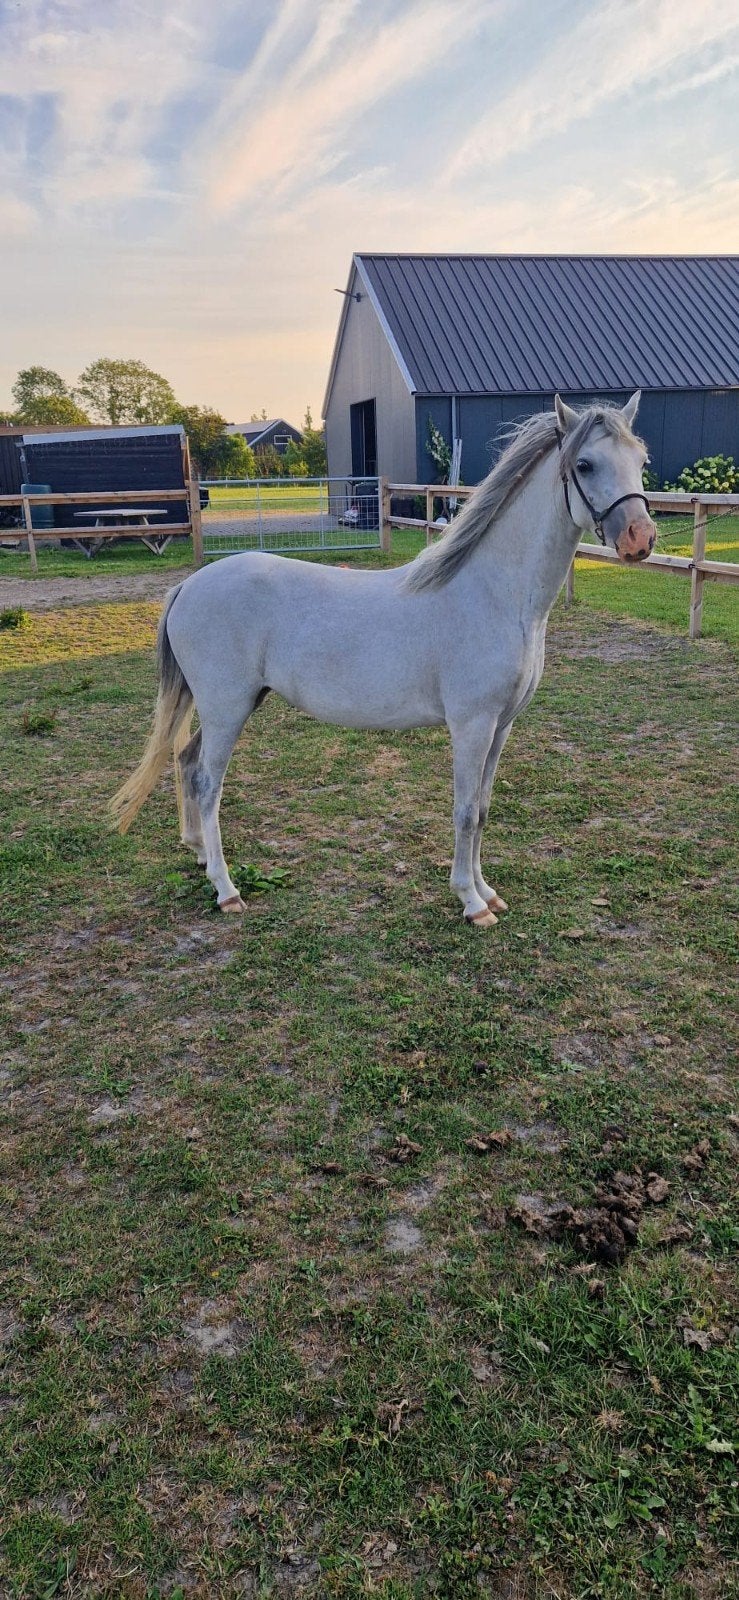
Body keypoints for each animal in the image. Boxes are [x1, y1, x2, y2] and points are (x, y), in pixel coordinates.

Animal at [111, 392, 655, 927]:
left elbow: (482, 808)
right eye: (584, 464)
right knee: (208, 783)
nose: (640, 539)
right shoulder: (472, 725)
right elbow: (463, 811)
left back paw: (201, 854)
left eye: (641, 460)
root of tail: (188, 587)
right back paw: (226, 889)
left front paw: (487, 891)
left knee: (185, 762)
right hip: (227, 707)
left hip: (227, 704)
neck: (495, 594)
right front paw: (471, 901)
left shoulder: (501, 726)